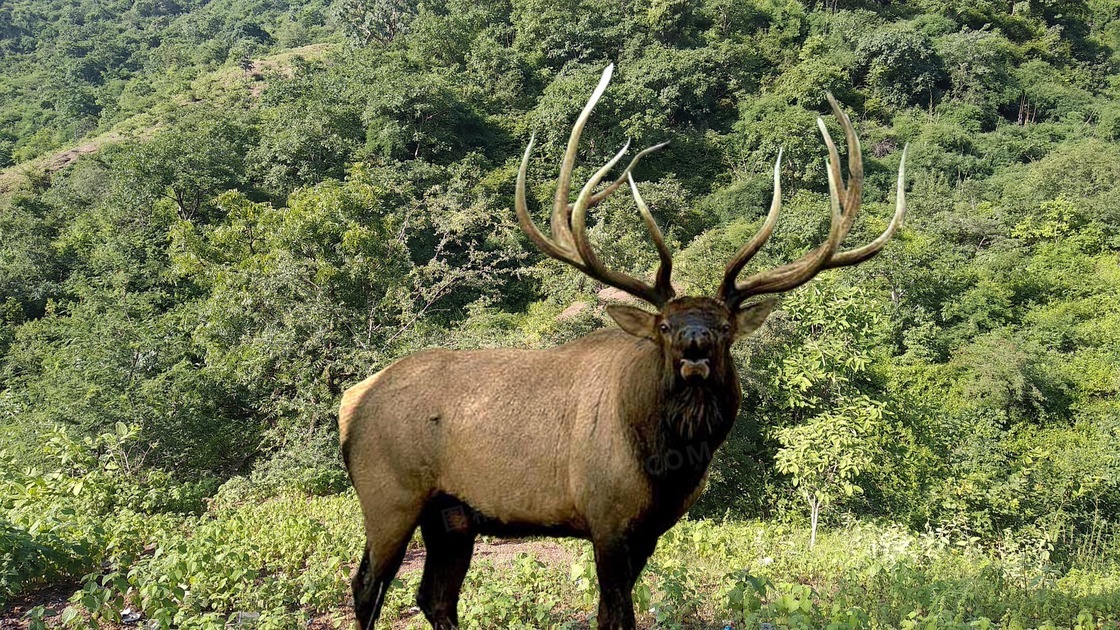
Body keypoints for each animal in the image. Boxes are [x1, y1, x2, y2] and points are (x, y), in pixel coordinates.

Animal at [336, 65, 904, 627]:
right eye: (665, 327)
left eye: (723, 327)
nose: (695, 346)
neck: (667, 465)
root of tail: (352, 400)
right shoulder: (604, 514)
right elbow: (615, 615)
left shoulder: (650, 529)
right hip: (389, 494)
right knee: (367, 585)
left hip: (452, 515)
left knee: (434, 595)